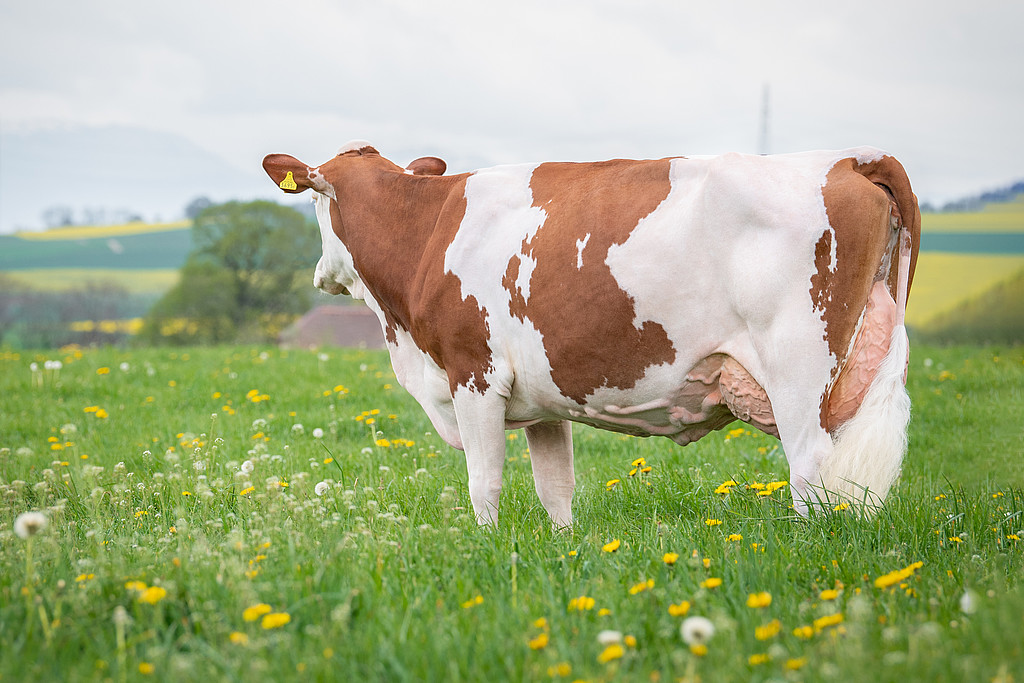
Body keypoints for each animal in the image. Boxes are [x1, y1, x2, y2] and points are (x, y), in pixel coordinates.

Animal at [264, 141, 921, 528]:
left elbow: (484, 483)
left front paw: (487, 544)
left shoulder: (473, 374)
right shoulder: (542, 396)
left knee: (811, 471)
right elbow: (556, 488)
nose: (319, 274)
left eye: (315, 206)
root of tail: (849, 159)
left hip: (799, 368)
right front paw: (562, 548)